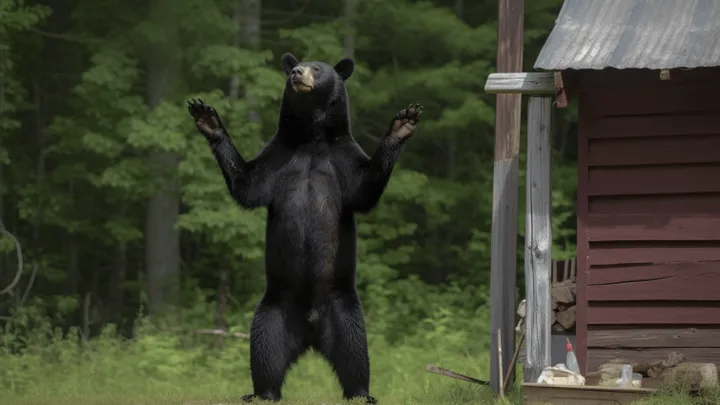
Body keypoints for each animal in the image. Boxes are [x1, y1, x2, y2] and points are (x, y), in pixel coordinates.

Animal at [187, 52, 422, 404]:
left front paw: (403, 124)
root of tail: (311, 334)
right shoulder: (278, 156)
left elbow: (365, 188)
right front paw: (208, 119)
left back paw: (361, 392)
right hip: (273, 310)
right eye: (296, 68)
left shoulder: (343, 159)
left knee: (355, 352)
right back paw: (262, 392)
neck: (312, 137)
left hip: (344, 308)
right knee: (265, 350)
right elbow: (247, 184)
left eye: (318, 68)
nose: (297, 72)